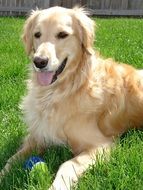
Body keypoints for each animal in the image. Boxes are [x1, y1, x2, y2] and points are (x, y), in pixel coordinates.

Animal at [0, 5, 143, 190]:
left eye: (62, 34)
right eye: (37, 34)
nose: (39, 61)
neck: (62, 91)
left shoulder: (101, 145)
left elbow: (67, 164)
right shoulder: (37, 137)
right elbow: (11, 159)